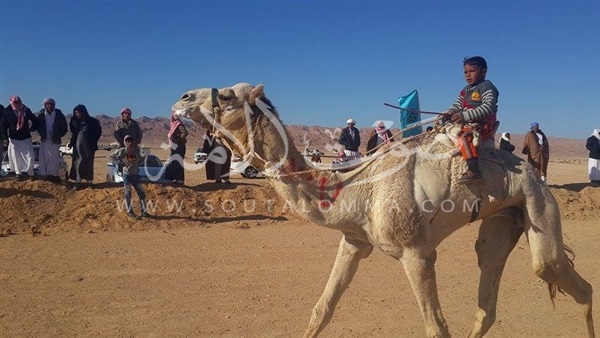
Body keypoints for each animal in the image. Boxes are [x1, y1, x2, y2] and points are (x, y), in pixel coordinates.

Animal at [171, 82, 592, 338]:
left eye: (226, 95)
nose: (183, 98)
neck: (354, 187)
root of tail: (531, 170)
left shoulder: (416, 252)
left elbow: (436, 327)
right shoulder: (354, 241)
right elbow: (322, 308)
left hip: (537, 203)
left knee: (562, 275)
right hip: (505, 216)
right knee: (488, 287)